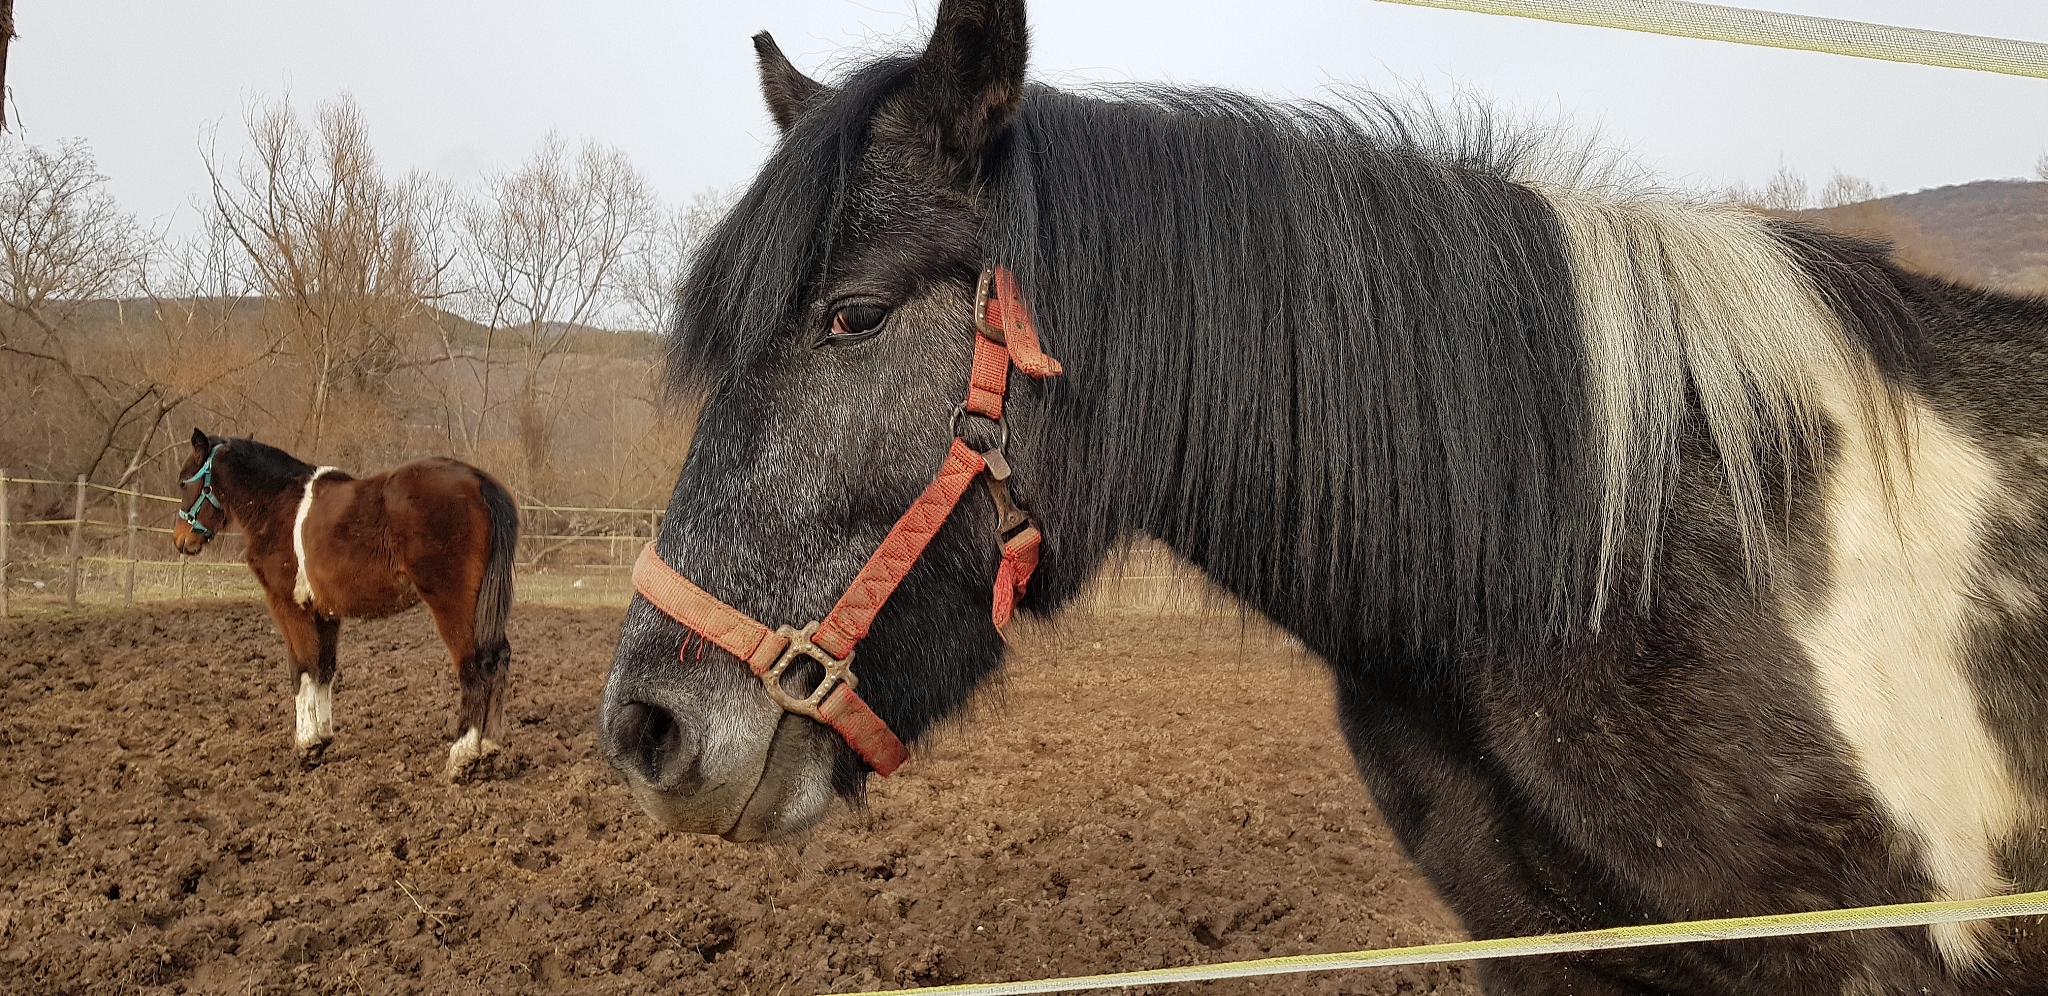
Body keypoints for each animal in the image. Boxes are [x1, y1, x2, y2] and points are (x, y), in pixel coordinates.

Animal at [173, 429, 519, 778]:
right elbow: (323, 669)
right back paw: (489, 746)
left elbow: (300, 669)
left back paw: (462, 755)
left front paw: (306, 743)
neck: (280, 507)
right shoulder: (325, 613)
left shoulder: (288, 606)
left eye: (184, 481)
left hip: (452, 604)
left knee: (473, 666)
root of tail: (478, 482)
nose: (181, 540)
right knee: (497, 658)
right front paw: (322, 738)